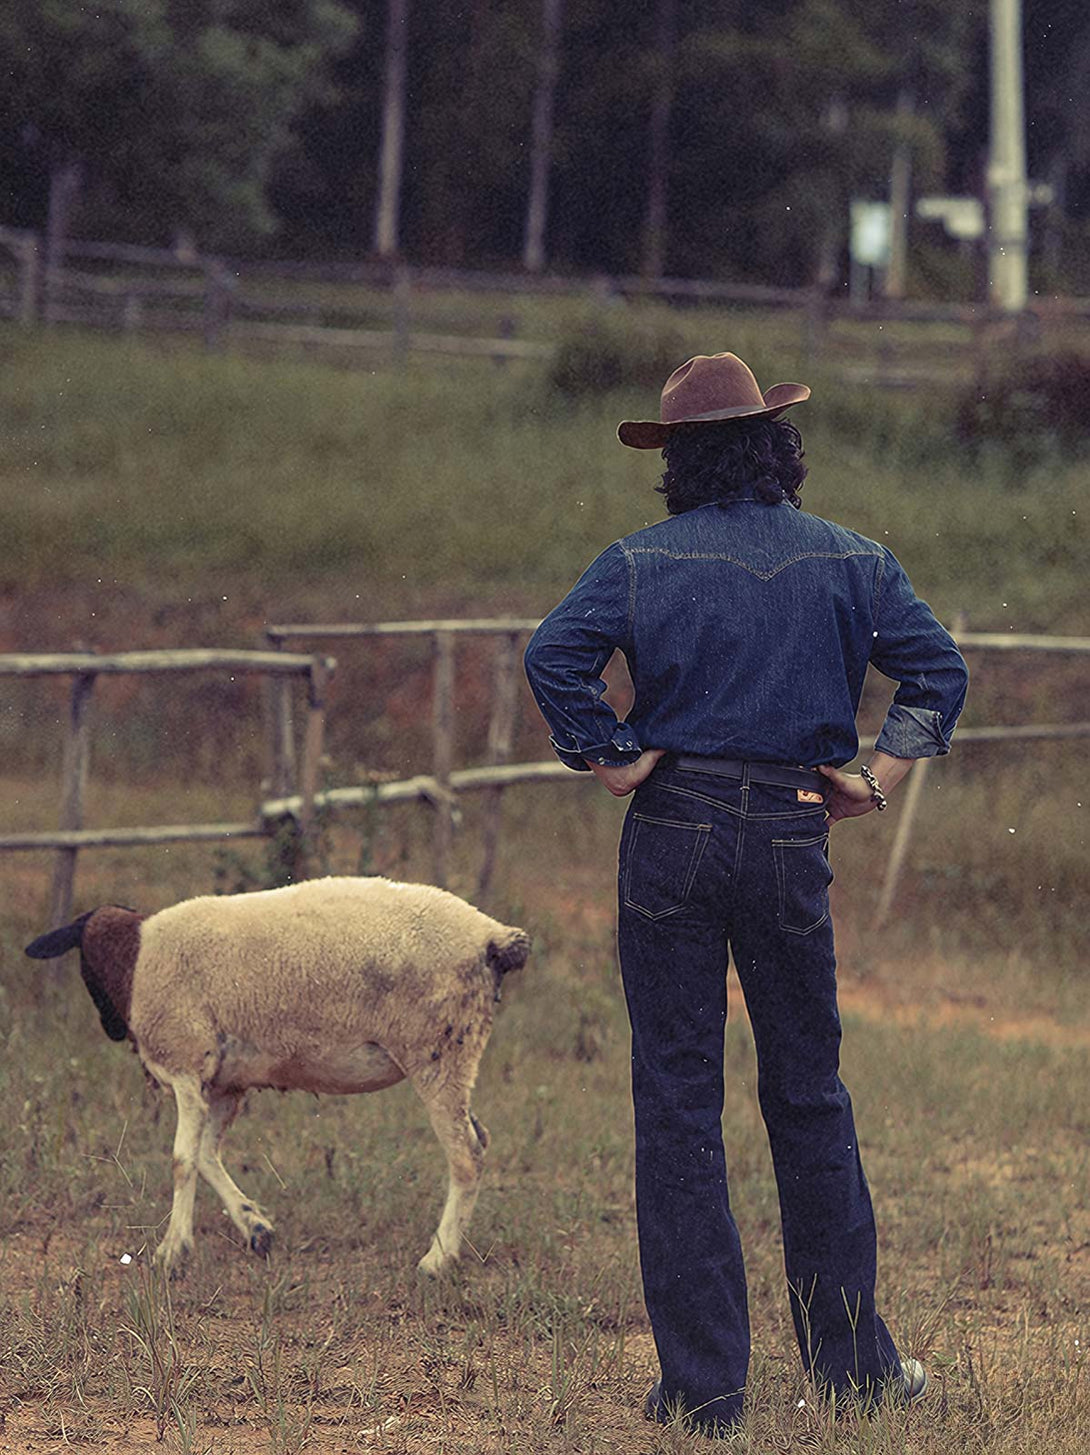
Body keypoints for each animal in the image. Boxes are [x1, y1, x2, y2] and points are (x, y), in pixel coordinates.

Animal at [25, 873, 532, 1274]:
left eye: (85, 964)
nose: (111, 1029)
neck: (136, 959)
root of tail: (493, 937)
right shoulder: (224, 1083)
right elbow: (207, 1155)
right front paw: (256, 1228)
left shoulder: (186, 1063)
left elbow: (182, 1160)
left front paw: (172, 1251)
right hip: (455, 1055)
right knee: (480, 1139)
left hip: (438, 1052)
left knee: (466, 1155)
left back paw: (437, 1259)